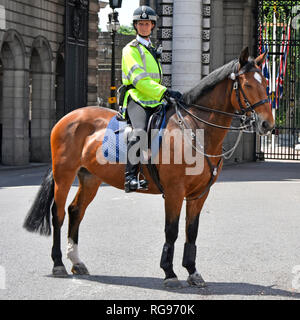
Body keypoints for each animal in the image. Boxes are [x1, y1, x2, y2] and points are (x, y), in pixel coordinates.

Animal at [23, 47, 274, 288]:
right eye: (248, 85)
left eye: (266, 84)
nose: (267, 124)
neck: (195, 129)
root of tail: (68, 117)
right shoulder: (174, 191)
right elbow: (171, 230)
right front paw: (169, 273)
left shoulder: (199, 194)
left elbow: (191, 231)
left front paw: (192, 271)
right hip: (64, 175)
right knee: (58, 214)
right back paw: (58, 263)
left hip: (90, 178)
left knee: (76, 211)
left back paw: (76, 261)